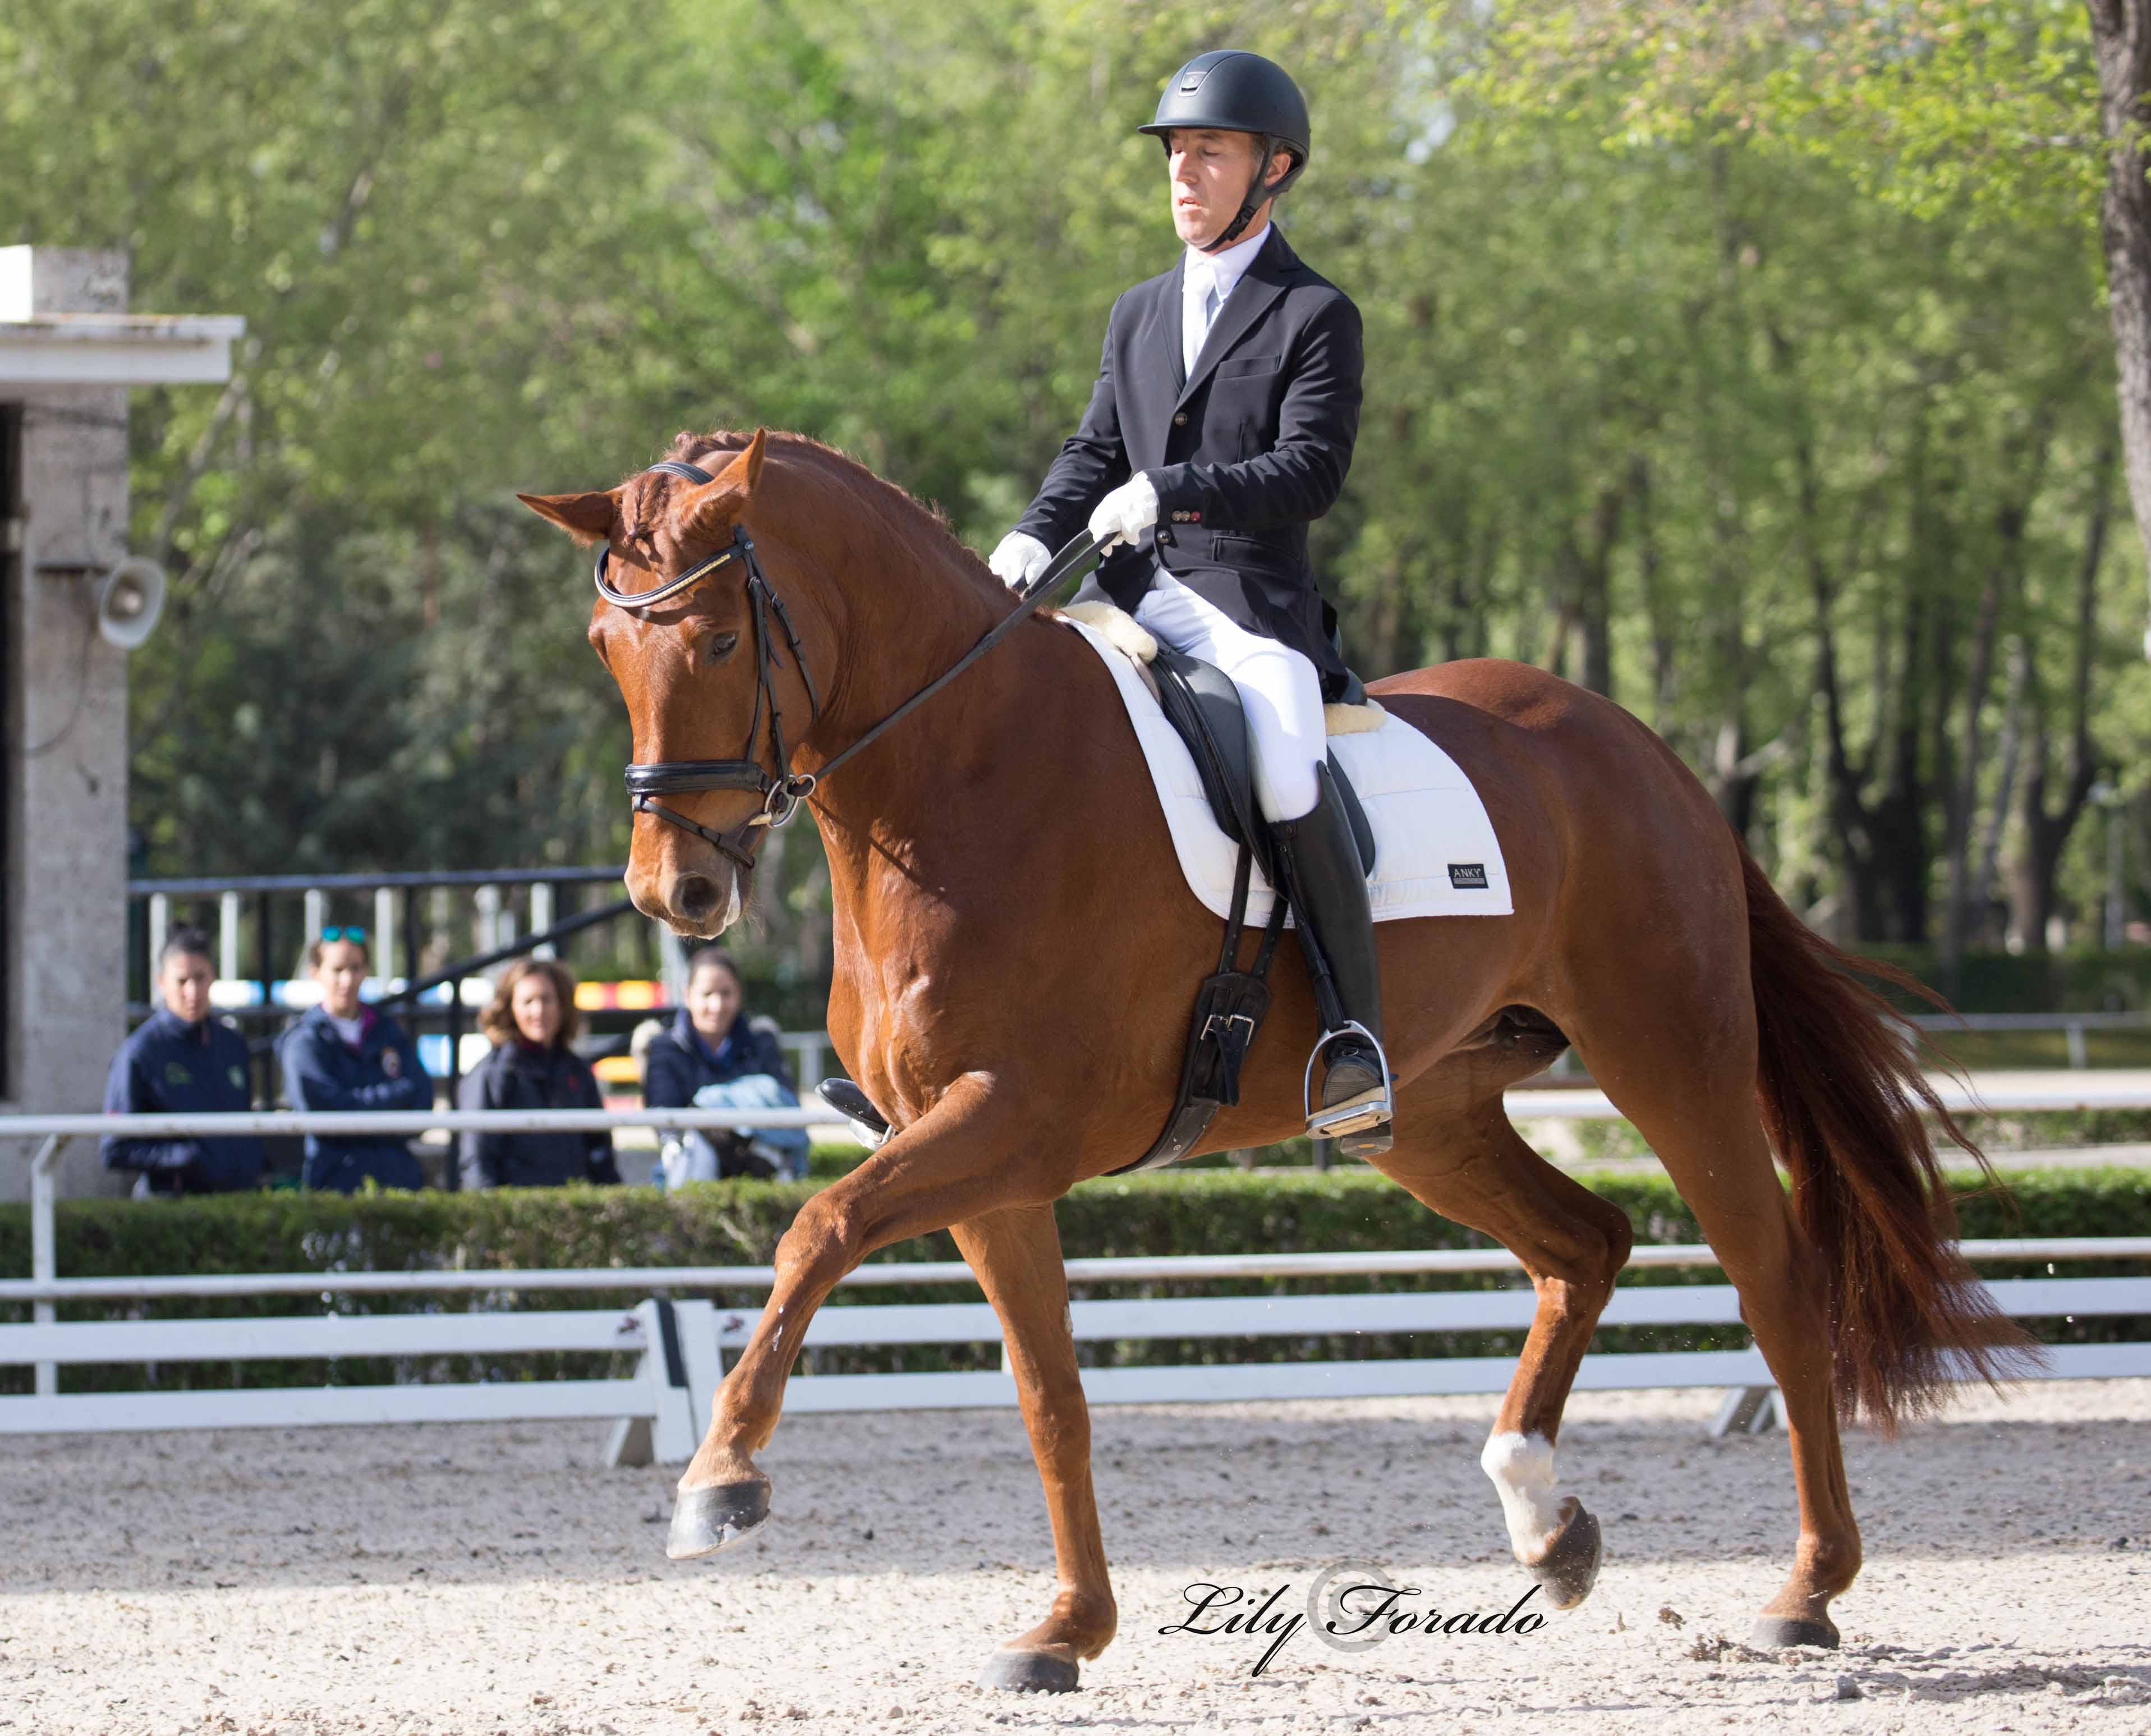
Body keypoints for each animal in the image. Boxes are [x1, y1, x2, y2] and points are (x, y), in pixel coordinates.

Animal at [516, 430, 2013, 1695]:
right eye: (602, 645)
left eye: (718, 636)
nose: (672, 896)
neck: (964, 772)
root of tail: (1643, 750)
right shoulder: (988, 1163)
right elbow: (1050, 1396)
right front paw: (1067, 1630)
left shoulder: (1013, 1121)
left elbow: (815, 1230)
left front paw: (720, 1477)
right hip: (1428, 1114)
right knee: (1583, 1242)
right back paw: (1545, 1521)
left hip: (1672, 1053)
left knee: (1771, 1276)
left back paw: (1804, 1591)